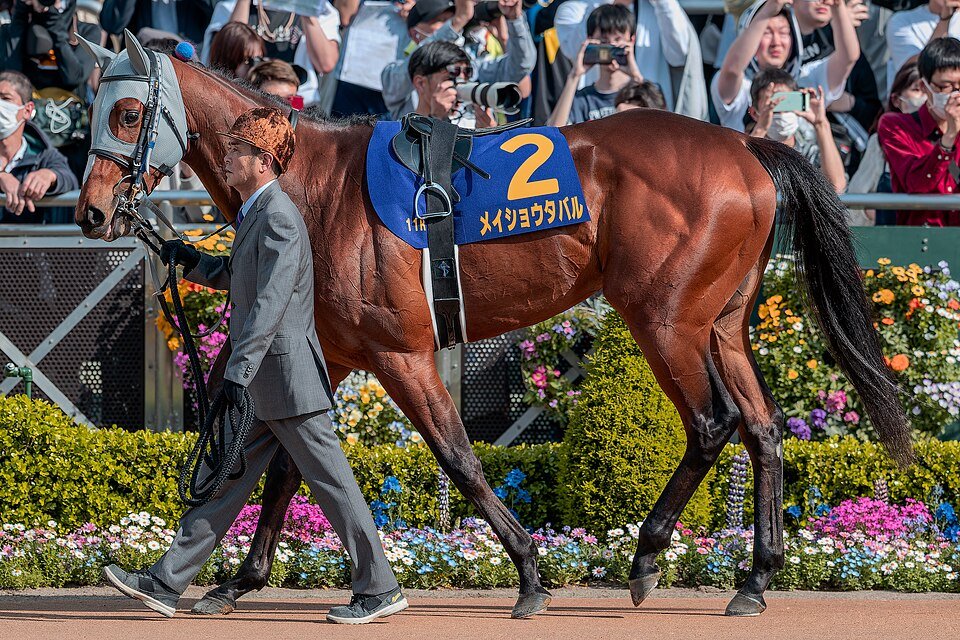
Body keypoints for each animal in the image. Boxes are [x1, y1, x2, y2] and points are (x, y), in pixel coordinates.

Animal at [75, 33, 913, 619]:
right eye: (90, 112)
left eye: (125, 111)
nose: (90, 213)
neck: (308, 184)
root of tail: (745, 143)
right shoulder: (331, 350)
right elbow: (285, 462)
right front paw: (231, 581)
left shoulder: (400, 352)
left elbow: (457, 457)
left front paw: (531, 575)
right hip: (722, 323)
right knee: (763, 427)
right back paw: (755, 577)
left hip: (665, 318)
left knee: (712, 424)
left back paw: (646, 558)